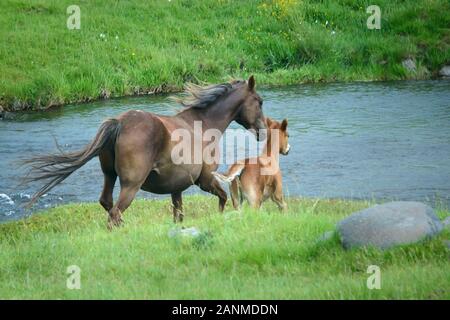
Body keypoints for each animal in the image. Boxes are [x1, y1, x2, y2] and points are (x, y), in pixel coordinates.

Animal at [24, 76, 266, 229]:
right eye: (260, 101)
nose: (263, 131)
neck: (203, 125)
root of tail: (120, 122)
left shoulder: (176, 188)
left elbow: (178, 215)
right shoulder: (205, 180)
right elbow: (224, 198)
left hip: (109, 175)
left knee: (107, 204)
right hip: (132, 185)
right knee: (114, 213)